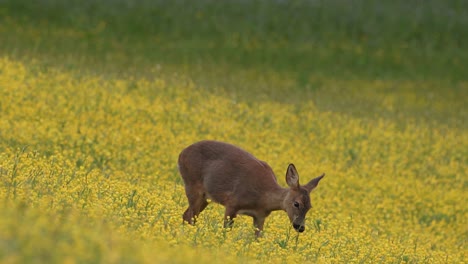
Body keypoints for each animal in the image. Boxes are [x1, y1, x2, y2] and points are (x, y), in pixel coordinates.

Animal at [176, 140, 326, 237]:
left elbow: (258, 238)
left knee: (187, 215)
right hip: (192, 185)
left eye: (310, 207)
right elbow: (226, 231)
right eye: (296, 203)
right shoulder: (232, 203)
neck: (263, 198)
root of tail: (181, 154)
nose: (300, 227)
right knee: (190, 216)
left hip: (205, 197)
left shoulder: (260, 216)